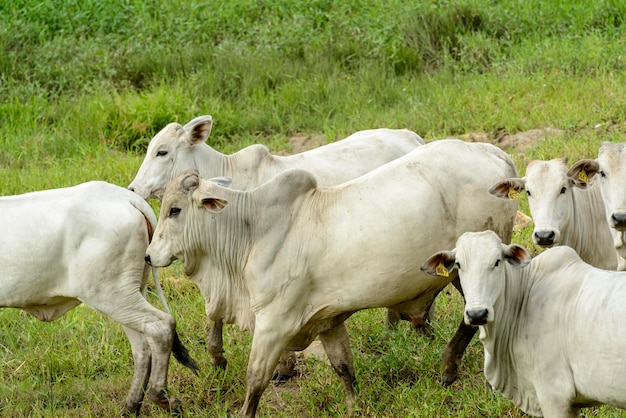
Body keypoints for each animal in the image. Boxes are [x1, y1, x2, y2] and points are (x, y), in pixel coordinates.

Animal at [0, 182, 197, 414]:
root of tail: (126, 197)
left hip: (112, 295)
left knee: (161, 327)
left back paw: (160, 397)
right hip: (128, 295)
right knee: (142, 347)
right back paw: (131, 407)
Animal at [127, 113, 424, 376]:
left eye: (162, 152)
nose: (132, 189)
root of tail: (411, 136)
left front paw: (284, 367)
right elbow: (216, 313)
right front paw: (217, 359)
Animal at [144, 140, 516, 414]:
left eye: (175, 210)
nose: (149, 255)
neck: (252, 232)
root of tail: (495, 154)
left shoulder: (273, 323)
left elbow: (255, 381)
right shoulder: (328, 320)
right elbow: (344, 368)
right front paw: (354, 408)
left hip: (472, 268)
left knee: (477, 317)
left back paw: (450, 367)